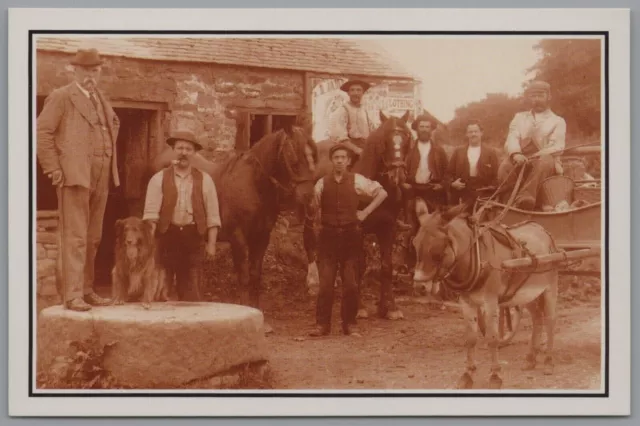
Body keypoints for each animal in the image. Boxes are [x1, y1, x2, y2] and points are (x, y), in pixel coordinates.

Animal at [151, 124, 320, 330]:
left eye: (313, 156)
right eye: (293, 157)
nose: (310, 201)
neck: (253, 185)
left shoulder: (261, 238)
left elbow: (255, 276)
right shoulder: (238, 238)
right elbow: (244, 277)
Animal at [412, 200, 556, 390]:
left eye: (438, 248)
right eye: (414, 244)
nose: (419, 286)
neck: (477, 257)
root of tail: (540, 228)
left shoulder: (491, 302)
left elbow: (492, 338)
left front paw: (495, 376)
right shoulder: (467, 302)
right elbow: (471, 339)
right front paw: (467, 375)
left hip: (549, 288)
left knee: (550, 321)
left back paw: (548, 362)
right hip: (527, 293)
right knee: (537, 319)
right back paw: (531, 359)